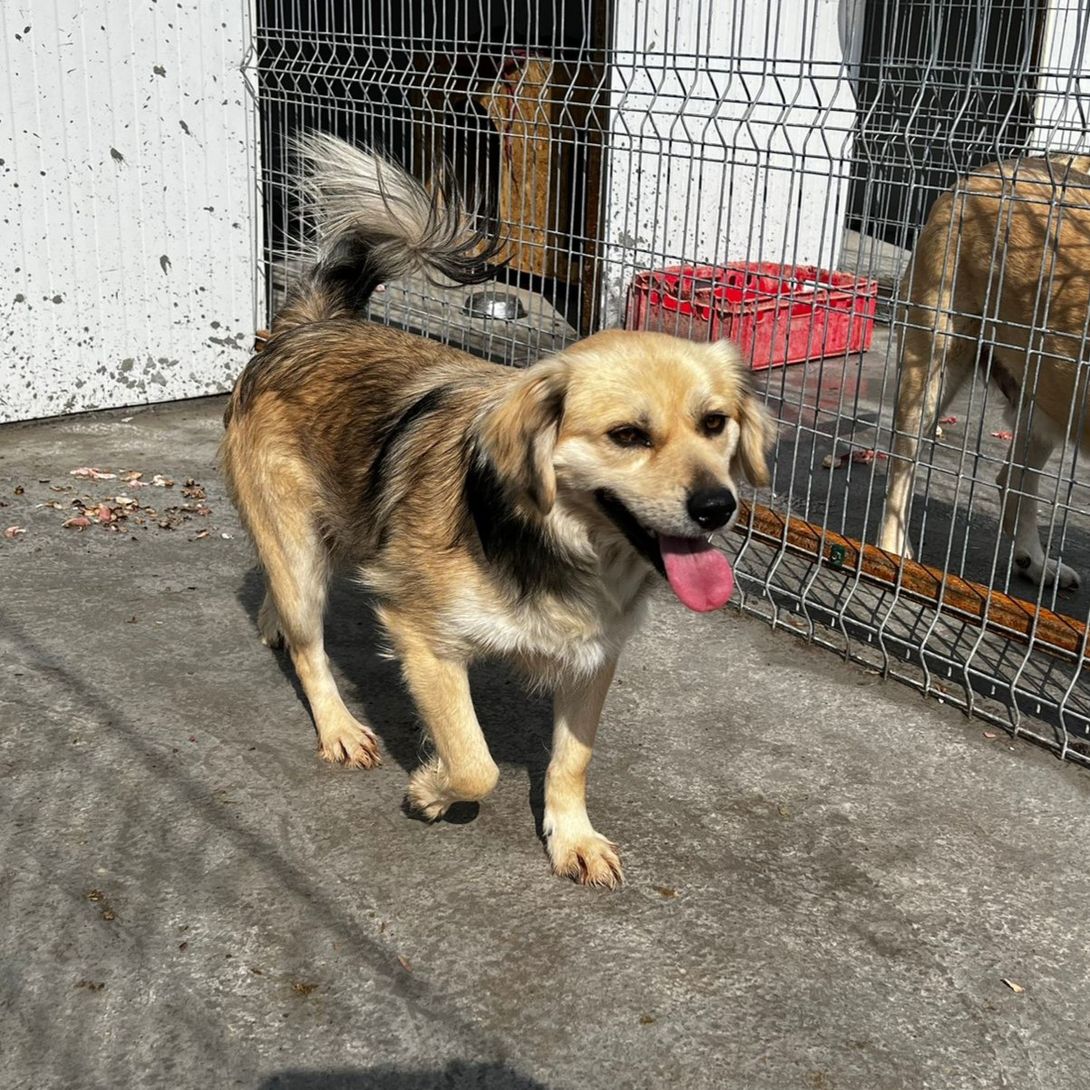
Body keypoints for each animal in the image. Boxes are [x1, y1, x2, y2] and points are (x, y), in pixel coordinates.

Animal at [222, 133, 774, 887]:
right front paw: (430, 791)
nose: (719, 508)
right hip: (301, 551)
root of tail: (306, 330)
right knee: (309, 643)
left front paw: (572, 837)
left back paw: (271, 622)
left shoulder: (594, 655)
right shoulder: (422, 635)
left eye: (715, 424)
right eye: (628, 437)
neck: (554, 542)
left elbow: (572, 761)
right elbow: (474, 763)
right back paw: (335, 724)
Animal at [879, 155, 1090, 590]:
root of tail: (991, 167)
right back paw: (891, 554)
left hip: (1046, 399)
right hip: (932, 367)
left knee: (1012, 479)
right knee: (902, 467)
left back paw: (1035, 562)